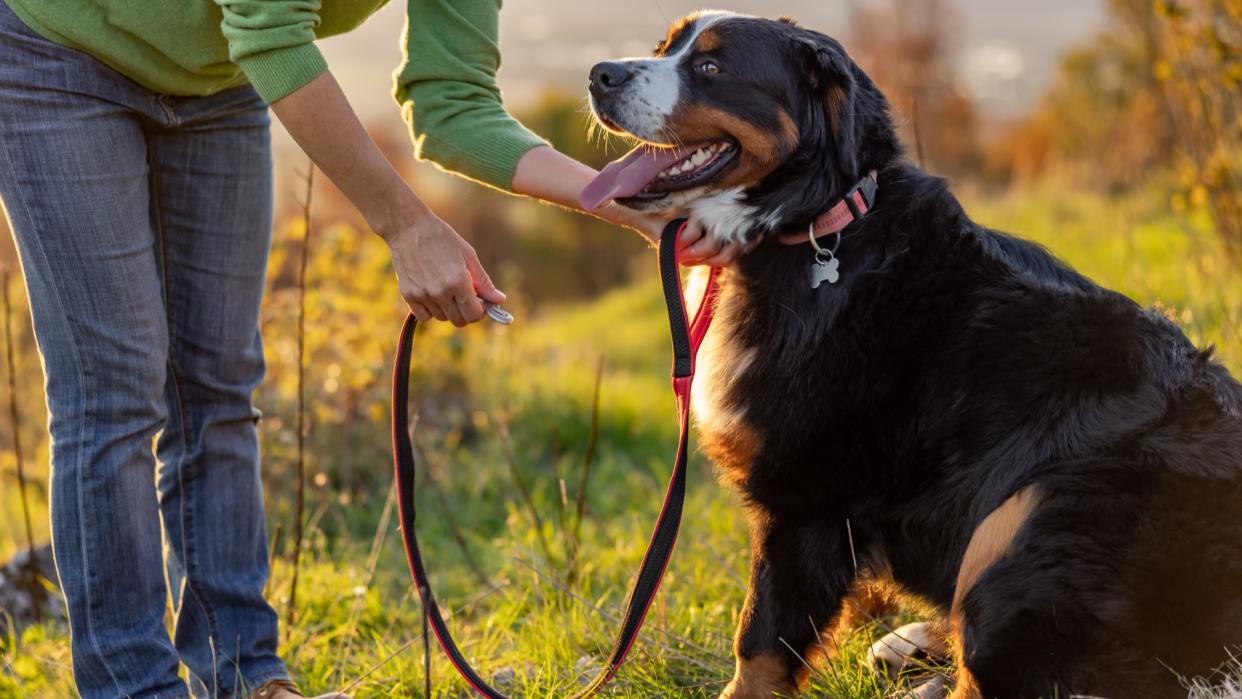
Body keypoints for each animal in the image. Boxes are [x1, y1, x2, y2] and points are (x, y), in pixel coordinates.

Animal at [581, 10, 1242, 699]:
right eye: (664, 47)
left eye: (711, 67)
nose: (601, 74)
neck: (815, 228)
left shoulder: (807, 500)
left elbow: (759, 643)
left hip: (1032, 515)